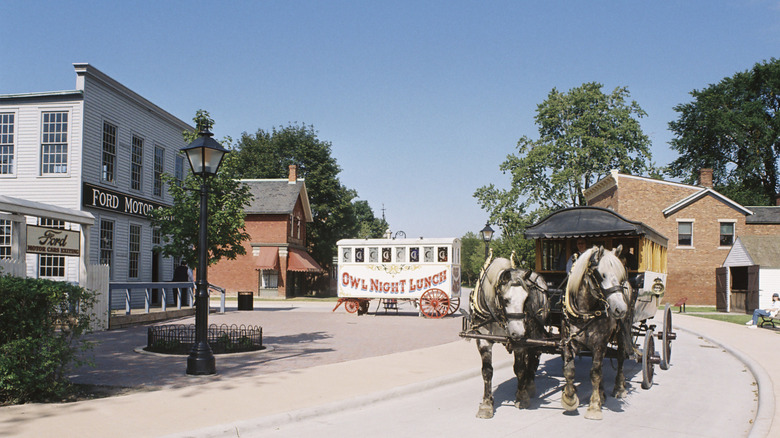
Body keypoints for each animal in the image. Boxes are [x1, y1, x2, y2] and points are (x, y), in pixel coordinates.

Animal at [470, 256, 548, 418]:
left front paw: (522, 397)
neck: (496, 314)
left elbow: (519, 368)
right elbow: (487, 371)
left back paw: (529, 385)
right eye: (505, 299)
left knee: (533, 355)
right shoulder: (483, 339)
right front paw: (486, 404)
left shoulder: (520, 342)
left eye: (526, 299)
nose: (518, 333)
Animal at [560, 246, 628, 420]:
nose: (620, 309)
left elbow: (595, 374)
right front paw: (569, 398)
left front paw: (594, 407)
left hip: (621, 334)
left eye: (621, 276)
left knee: (620, 358)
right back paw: (603, 393)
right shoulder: (569, 341)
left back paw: (619, 388)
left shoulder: (599, 343)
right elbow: (569, 370)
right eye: (601, 274)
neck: (584, 312)